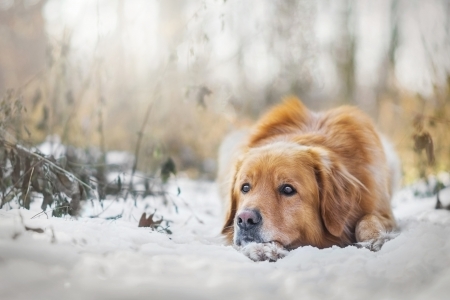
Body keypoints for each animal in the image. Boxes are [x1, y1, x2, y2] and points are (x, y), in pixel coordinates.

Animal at [219, 97, 400, 262]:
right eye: (245, 187)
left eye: (288, 189)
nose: (245, 219)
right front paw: (263, 248)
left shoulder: (384, 212)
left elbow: (368, 219)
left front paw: (376, 238)